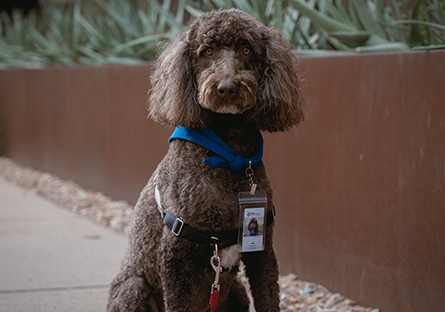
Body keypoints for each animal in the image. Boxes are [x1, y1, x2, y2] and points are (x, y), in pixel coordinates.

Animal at [106, 8, 304, 310]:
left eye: (246, 48)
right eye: (207, 51)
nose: (227, 87)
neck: (231, 156)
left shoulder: (263, 252)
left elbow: (269, 298)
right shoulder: (175, 257)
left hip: (238, 291)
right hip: (133, 289)